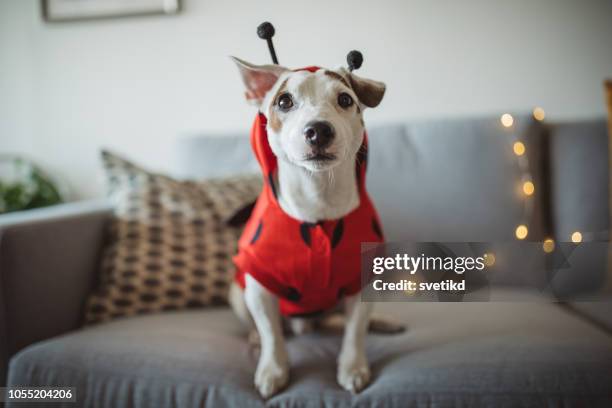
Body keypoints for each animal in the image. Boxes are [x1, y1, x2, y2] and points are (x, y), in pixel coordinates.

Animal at [227, 55, 390, 396]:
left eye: (345, 100)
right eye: (284, 101)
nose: (318, 130)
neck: (318, 197)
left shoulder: (362, 282)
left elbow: (355, 331)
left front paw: (352, 367)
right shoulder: (258, 285)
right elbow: (271, 333)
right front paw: (273, 369)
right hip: (238, 292)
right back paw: (254, 337)